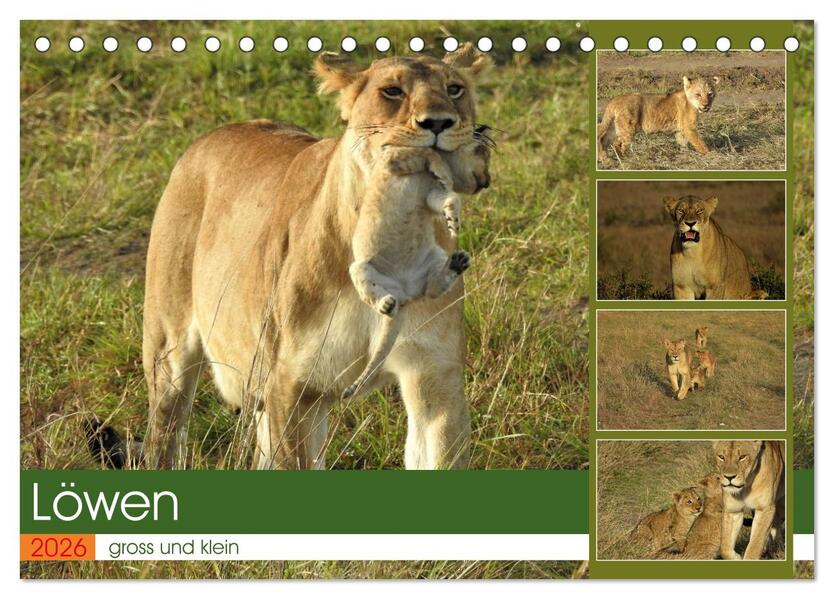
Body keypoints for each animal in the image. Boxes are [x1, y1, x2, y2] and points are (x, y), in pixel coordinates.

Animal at [343, 132, 491, 399]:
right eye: (485, 154)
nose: (488, 181)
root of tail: (404, 294)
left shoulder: (431, 194)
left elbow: (449, 197)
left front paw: (453, 221)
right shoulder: (393, 158)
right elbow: (429, 153)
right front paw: (442, 171)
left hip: (435, 256)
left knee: (431, 290)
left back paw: (457, 263)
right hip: (359, 268)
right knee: (372, 294)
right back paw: (386, 303)